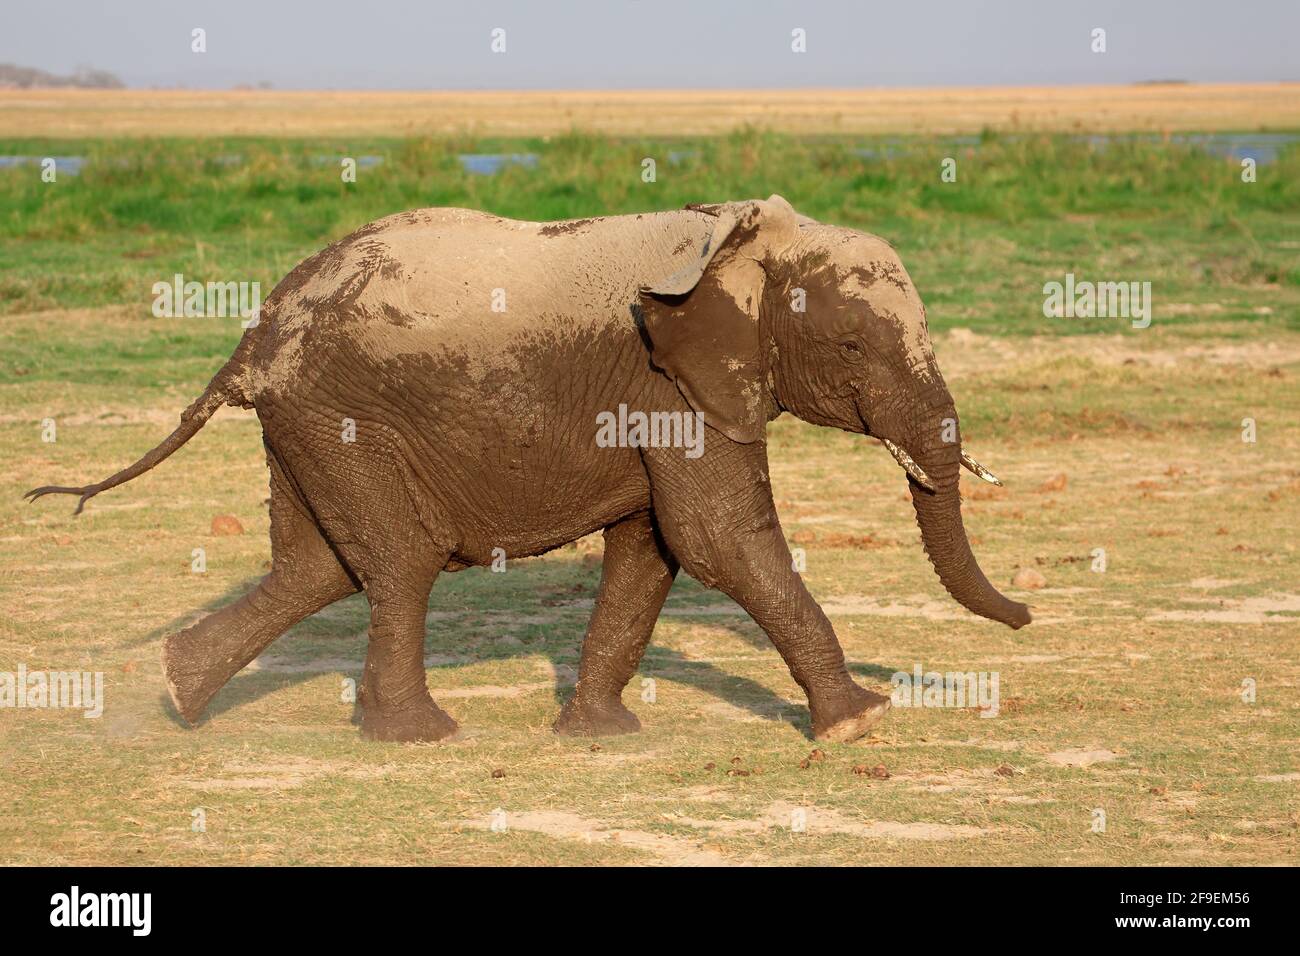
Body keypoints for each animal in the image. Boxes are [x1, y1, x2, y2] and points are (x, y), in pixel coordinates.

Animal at [26, 194, 1030, 744]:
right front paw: (861, 721)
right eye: (853, 345)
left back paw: (177, 694)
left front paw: (601, 735)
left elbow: (654, 550)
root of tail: (256, 332)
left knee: (319, 569)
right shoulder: (668, 377)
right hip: (342, 417)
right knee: (396, 562)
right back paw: (417, 738)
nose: (1025, 614)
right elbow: (717, 542)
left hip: (308, 422)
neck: (743, 242)